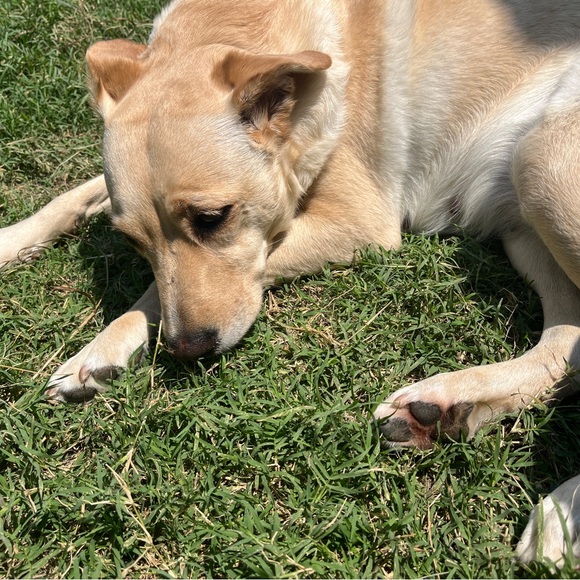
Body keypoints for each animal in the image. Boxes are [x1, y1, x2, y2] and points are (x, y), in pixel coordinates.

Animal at [1, 0, 579, 565]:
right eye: (132, 242)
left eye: (212, 217)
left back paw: (562, 513)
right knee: (565, 345)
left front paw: (101, 345)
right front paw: (15, 244)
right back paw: (443, 409)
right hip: (522, 222)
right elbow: (75, 197)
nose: (188, 351)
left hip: (543, 158)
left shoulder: (358, 221)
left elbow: (161, 294)